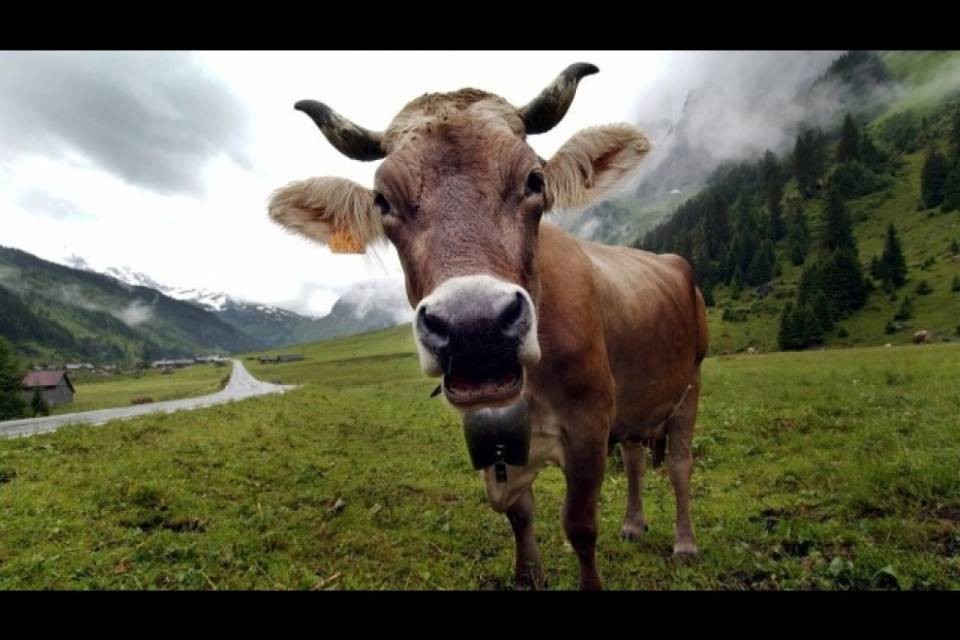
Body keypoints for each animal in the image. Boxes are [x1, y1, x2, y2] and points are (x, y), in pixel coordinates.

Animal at [268, 63, 708, 590]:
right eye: (382, 201)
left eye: (535, 179)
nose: (474, 327)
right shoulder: (488, 435)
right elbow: (519, 514)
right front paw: (529, 574)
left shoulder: (590, 425)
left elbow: (580, 526)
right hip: (638, 402)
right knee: (639, 455)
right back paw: (634, 524)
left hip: (690, 383)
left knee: (679, 465)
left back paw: (685, 543)